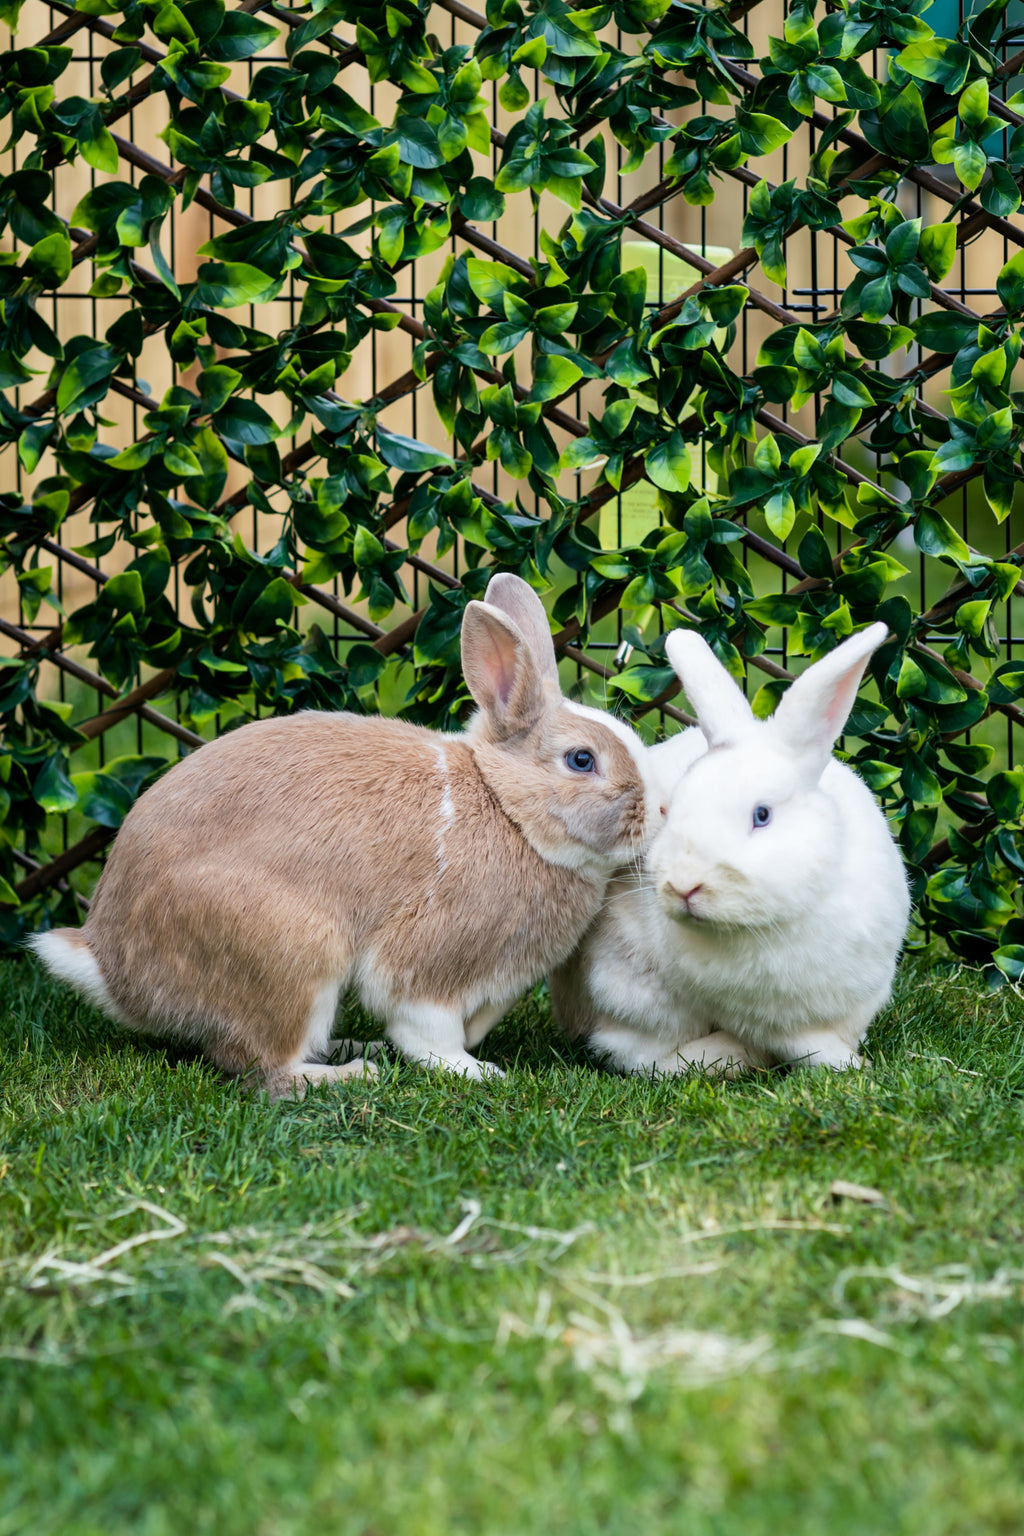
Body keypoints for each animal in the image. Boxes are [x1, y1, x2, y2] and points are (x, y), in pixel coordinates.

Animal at [37, 574, 657, 1093]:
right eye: (581, 760)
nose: (656, 812)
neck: (508, 811)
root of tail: (113, 969)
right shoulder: (427, 961)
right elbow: (426, 1029)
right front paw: (475, 1072)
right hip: (297, 954)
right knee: (261, 1067)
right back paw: (348, 1073)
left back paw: (350, 1048)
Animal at [552, 617, 914, 1075]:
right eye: (671, 808)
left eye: (762, 815)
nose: (684, 886)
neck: (762, 928)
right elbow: (638, 1052)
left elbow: (813, 1041)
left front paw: (847, 1064)